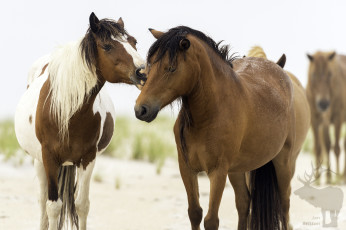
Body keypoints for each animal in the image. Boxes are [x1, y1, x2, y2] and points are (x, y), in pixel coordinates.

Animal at [14, 13, 145, 230]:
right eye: (107, 46)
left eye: (134, 42)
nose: (143, 72)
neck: (67, 112)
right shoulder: (49, 158)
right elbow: (53, 207)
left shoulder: (88, 158)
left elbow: (82, 205)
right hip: (38, 161)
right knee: (42, 204)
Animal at [134, 25, 310, 230]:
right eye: (150, 66)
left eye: (171, 68)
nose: (141, 109)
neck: (209, 115)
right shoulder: (186, 169)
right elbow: (195, 213)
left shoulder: (217, 172)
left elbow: (211, 220)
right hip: (238, 169)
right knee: (244, 203)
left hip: (283, 161)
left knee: (284, 203)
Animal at [306, 50, 346, 183]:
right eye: (313, 75)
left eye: (330, 74)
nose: (323, 104)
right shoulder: (315, 121)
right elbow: (320, 147)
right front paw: (318, 178)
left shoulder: (337, 118)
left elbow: (335, 148)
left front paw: (334, 176)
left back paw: (342, 175)